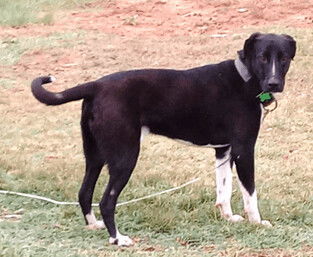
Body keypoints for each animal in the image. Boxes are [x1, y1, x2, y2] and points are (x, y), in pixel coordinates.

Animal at [31, 33, 294, 245]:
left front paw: (228, 217)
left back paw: (94, 225)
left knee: (84, 193)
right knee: (107, 201)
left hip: (95, 156)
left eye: (283, 58)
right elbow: (250, 193)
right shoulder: (244, 150)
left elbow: (224, 188)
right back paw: (117, 239)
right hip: (125, 157)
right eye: (262, 57)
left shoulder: (224, 150)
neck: (245, 77)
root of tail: (96, 85)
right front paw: (257, 222)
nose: (274, 83)